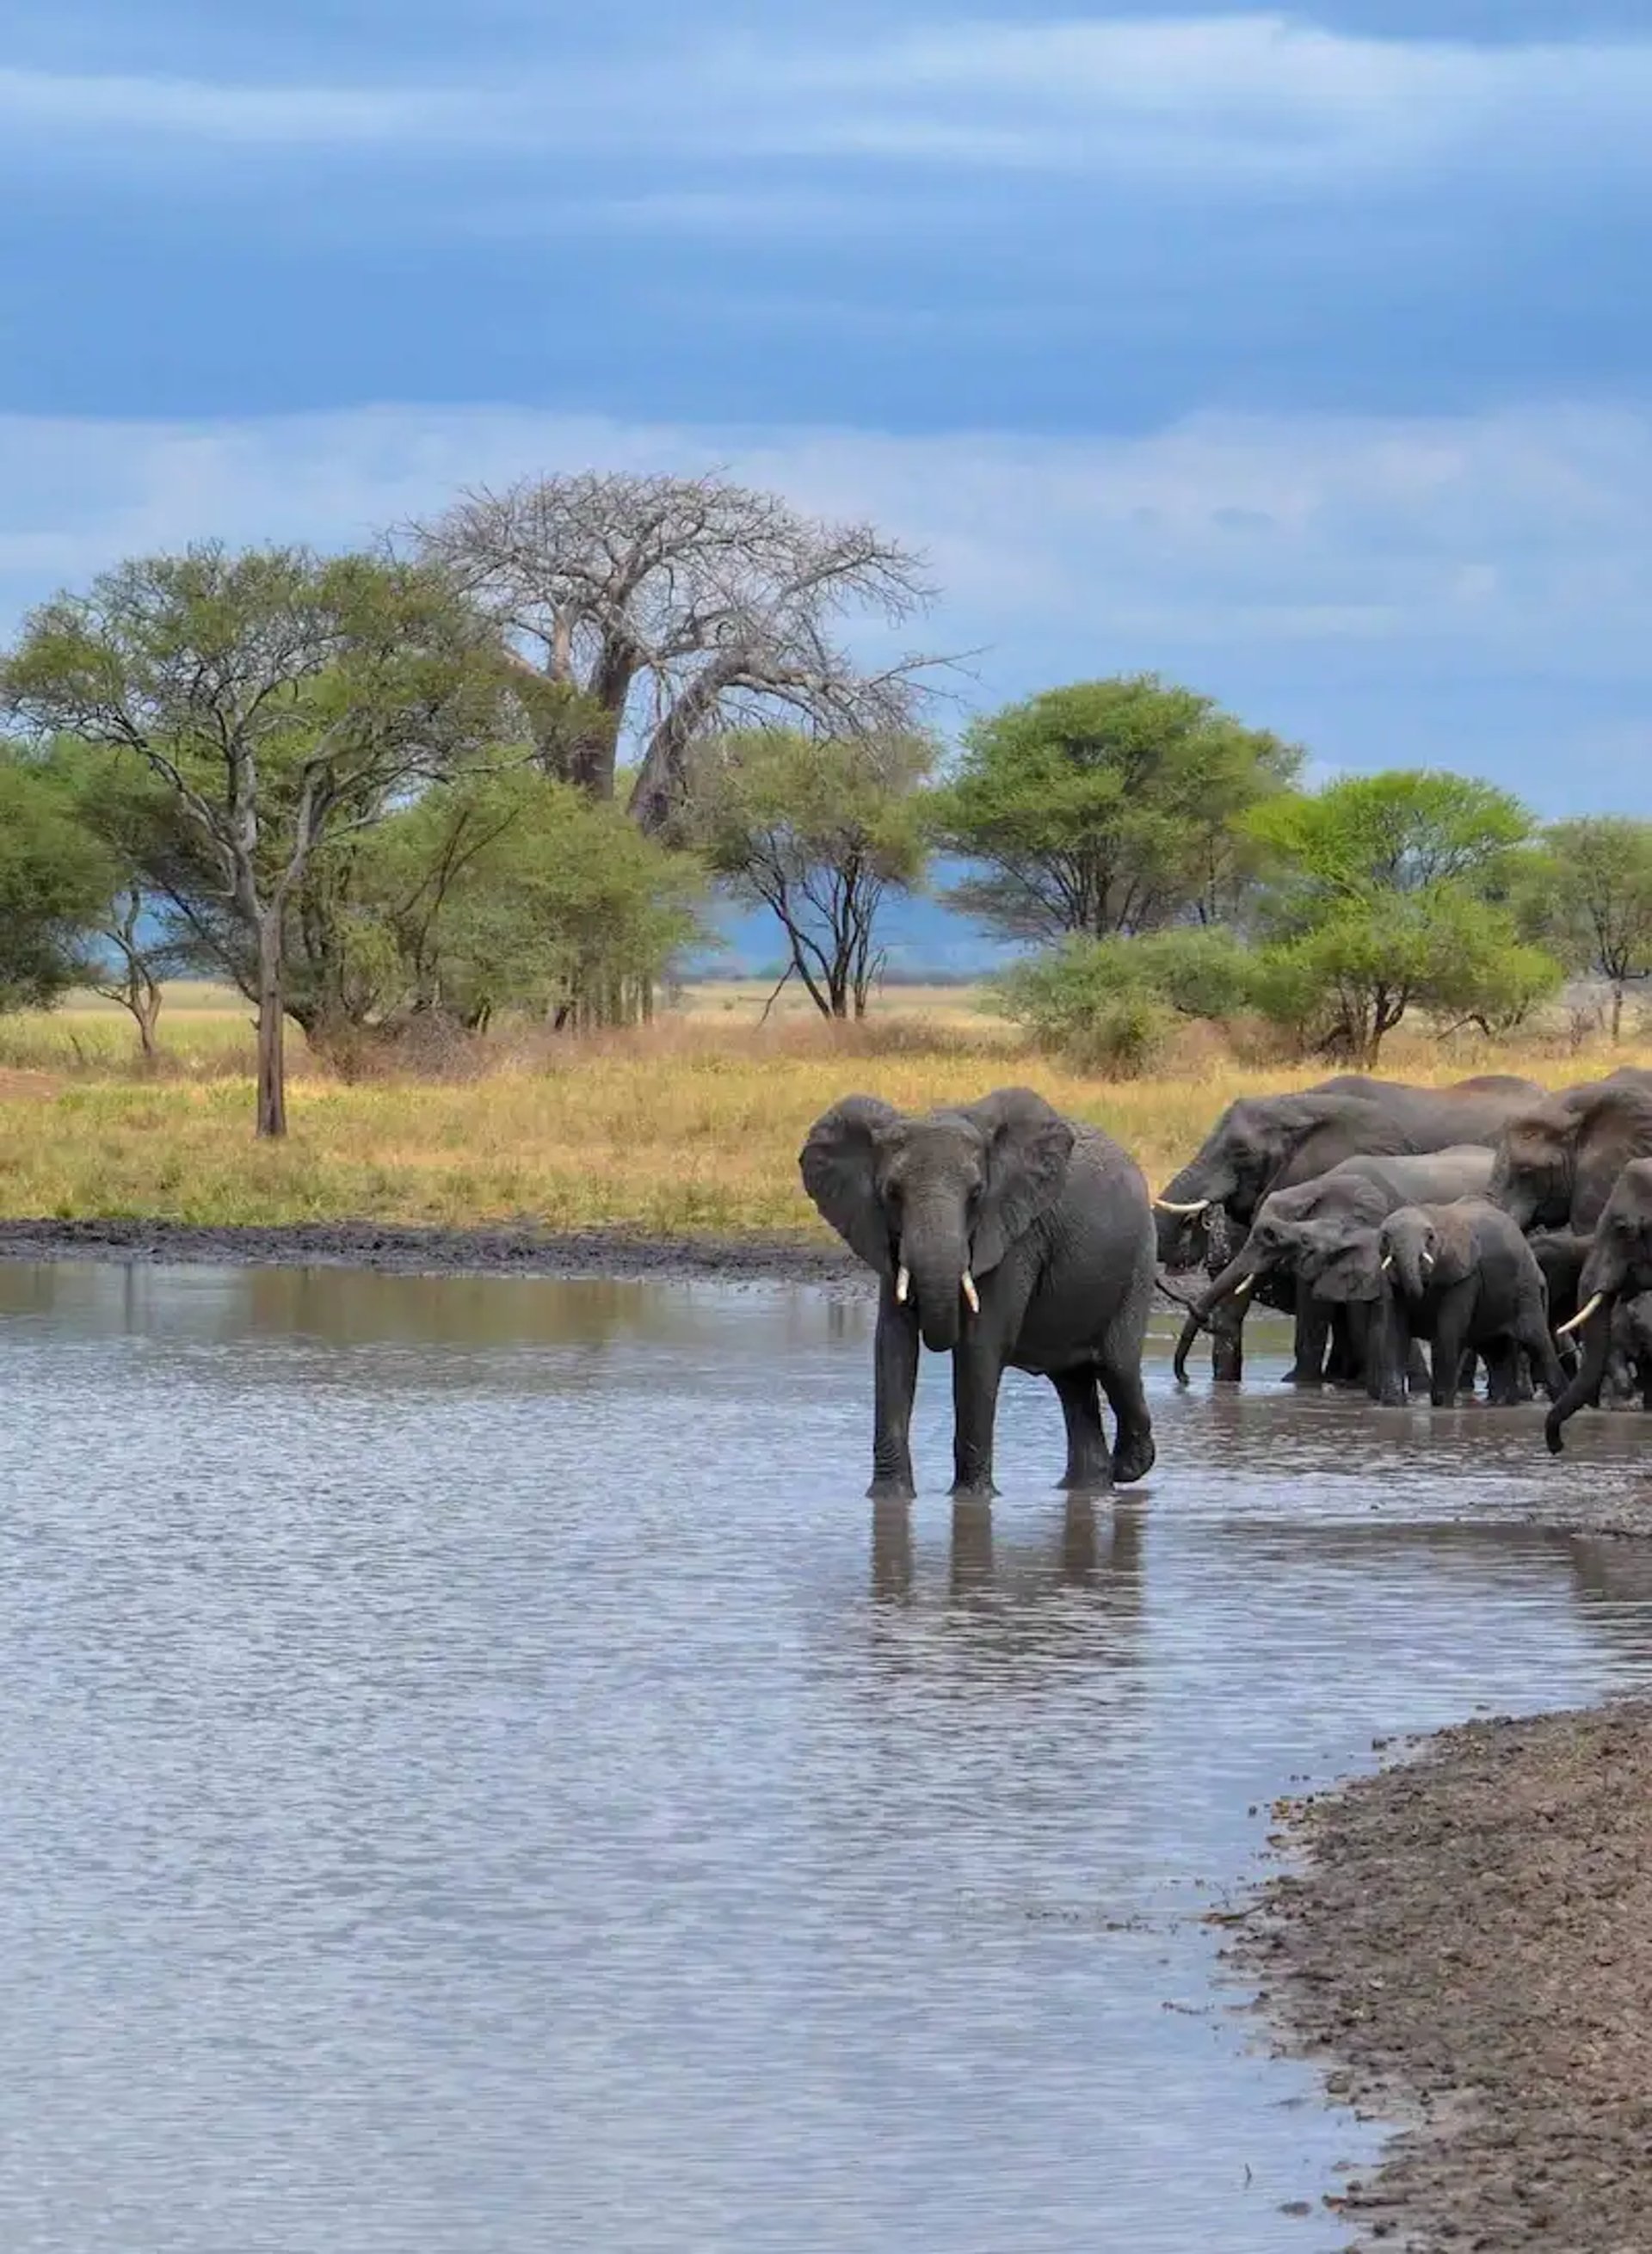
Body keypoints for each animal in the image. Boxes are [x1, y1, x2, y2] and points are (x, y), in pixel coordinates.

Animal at [800, 1087, 1156, 1500]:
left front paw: (971, 1500)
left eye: (976, 1194)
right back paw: (1090, 1487)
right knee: (1074, 1383)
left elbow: (979, 1345)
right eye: (891, 1194)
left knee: (1117, 1368)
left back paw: (1128, 1466)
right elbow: (893, 1344)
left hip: (1139, 1264)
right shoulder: (884, 1237)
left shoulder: (1013, 1235)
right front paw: (889, 1499)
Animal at [1375, 1199, 1564, 1409]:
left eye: (1430, 1237)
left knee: (1537, 1341)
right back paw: (1501, 1403)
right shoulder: (1392, 1283)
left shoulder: (1466, 1276)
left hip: (1526, 1288)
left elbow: (1448, 1330)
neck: (1431, 1214)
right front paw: (1393, 1405)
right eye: (1384, 1238)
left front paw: (1444, 1405)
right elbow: (1395, 1332)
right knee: (1495, 1351)